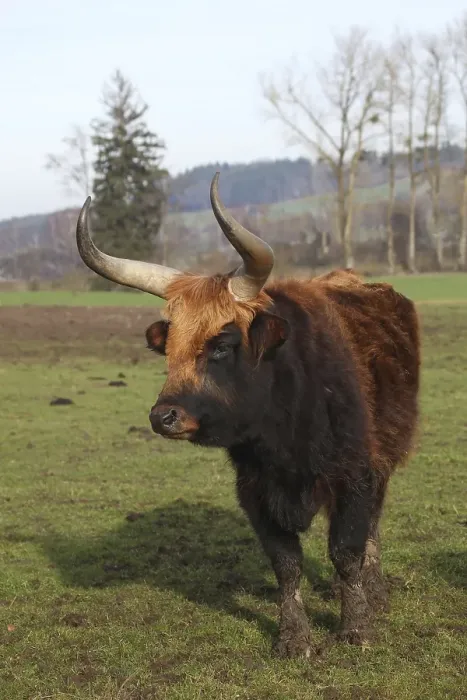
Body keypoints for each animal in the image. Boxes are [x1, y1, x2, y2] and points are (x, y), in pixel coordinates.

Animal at [76, 172, 420, 659]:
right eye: (169, 349)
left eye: (222, 346)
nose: (164, 417)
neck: (285, 432)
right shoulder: (255, 491)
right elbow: (287, 564)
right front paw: (293, 637)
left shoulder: (355, 474)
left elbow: (347, 550)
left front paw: (356, 627)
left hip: (385, 457)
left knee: (371, 526)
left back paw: (375, 592)